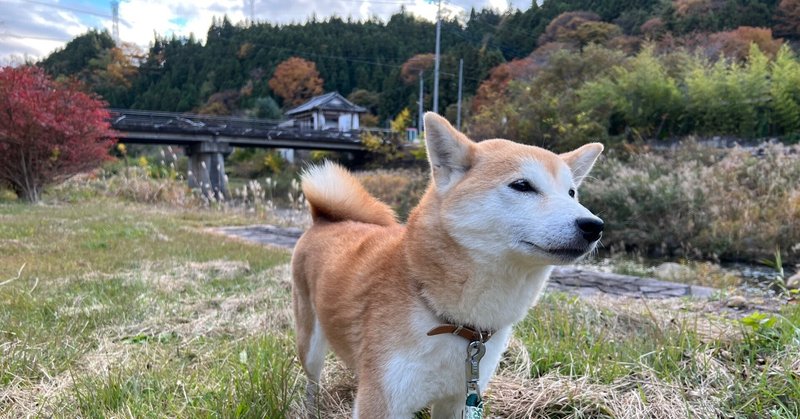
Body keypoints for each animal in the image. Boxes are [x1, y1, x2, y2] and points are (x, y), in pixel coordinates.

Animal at [294, 112, 608, 419]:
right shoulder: (383, 401)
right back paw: (311, 408)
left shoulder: (461, 397)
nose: (594, 225)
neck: (457, 325)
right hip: (310, 345)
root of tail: (324, 219)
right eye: (522, 186)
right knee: (312, 381)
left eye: (571, 193)